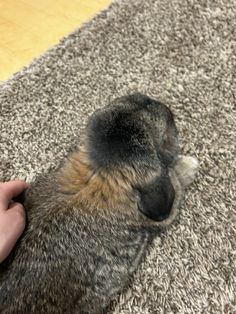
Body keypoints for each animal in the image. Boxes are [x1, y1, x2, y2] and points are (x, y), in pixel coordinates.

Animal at [0, 93, 198, 314]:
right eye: (164, 138)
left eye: (142, 100)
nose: (166, 109)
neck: (100, 171)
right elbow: (176, 179)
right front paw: (189, 164)